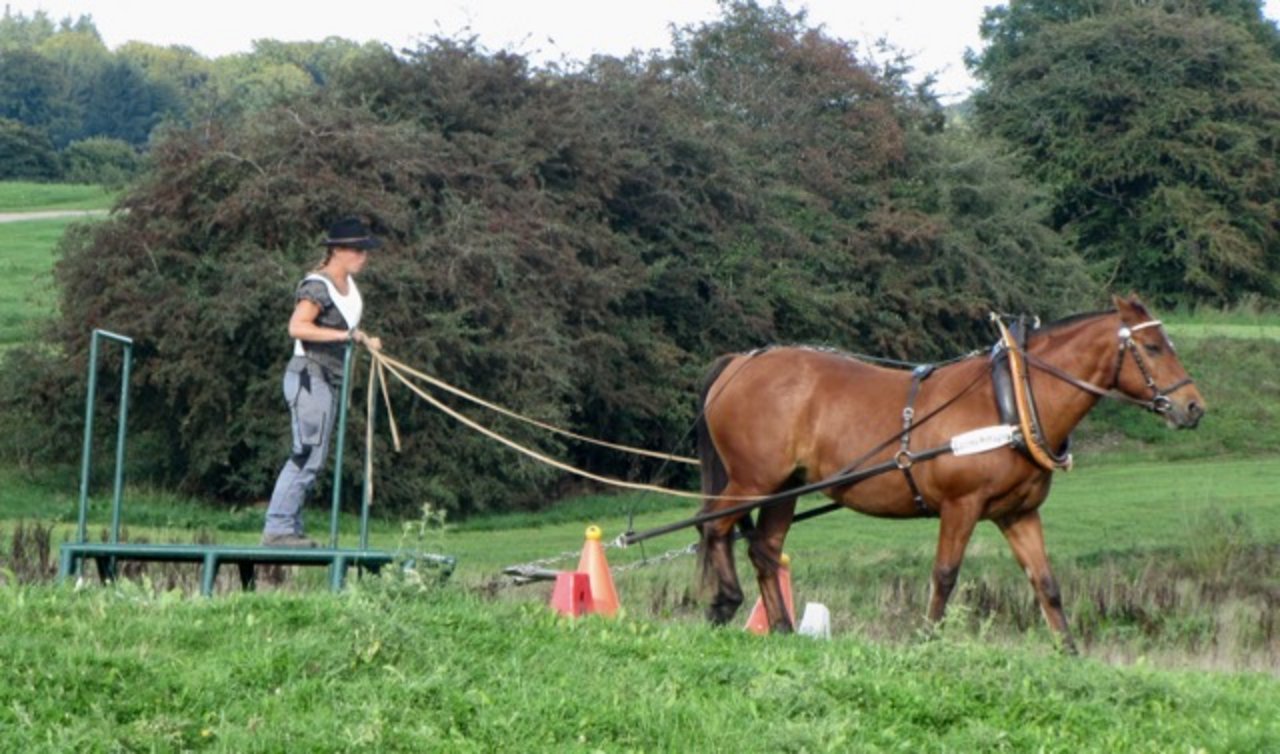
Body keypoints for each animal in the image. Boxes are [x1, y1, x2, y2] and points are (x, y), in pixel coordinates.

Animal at [696, 294, 1203, 647]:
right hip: (754, 481)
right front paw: (927, 641)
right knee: (712, 526)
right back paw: (723, 601)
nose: (1194, 407)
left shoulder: (1018, 514)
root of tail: (740, 364)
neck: (1010, 400)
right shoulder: (961, 506)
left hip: (786, 487)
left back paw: (781, 628)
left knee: (764, 549)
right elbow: (944, 576)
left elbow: (1047, 584)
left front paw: (1069, 652)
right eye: (1153, 347)